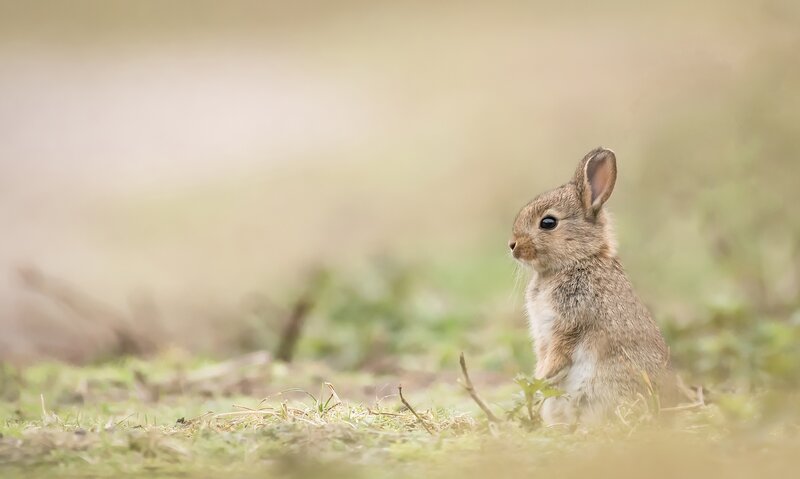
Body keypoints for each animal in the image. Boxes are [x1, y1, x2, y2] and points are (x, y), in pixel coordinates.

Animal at [509, 147, 674, 426]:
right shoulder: (544, 334)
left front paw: (539, 380)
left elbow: (557, 355)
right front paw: (536, 381)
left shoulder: (570, 322)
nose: (512, 245)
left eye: (548, 223)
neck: (578, 260)